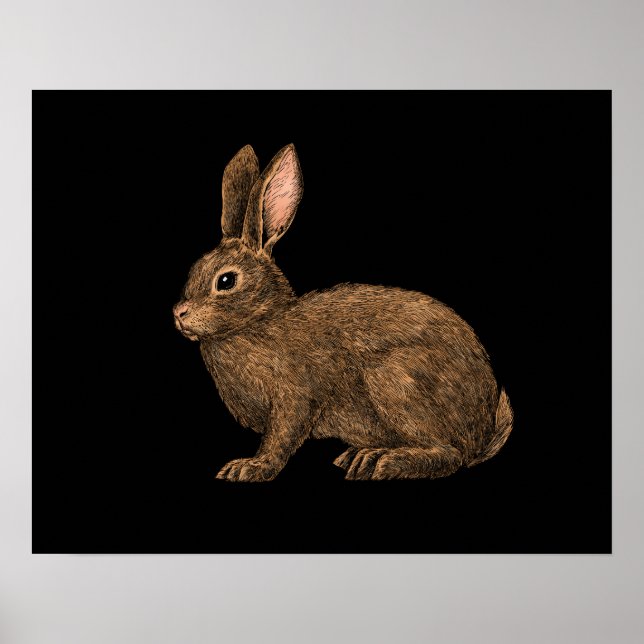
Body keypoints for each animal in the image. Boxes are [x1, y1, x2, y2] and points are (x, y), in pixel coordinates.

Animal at [173, 144, 513, 482]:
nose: (179, 313)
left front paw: (250, 467)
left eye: (226, 281)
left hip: (394, 379)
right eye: (194, 270)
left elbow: (281, 437)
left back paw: (381, 462)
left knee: (449, 454)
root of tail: (482, 433)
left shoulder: (294, 396)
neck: (259, 320)